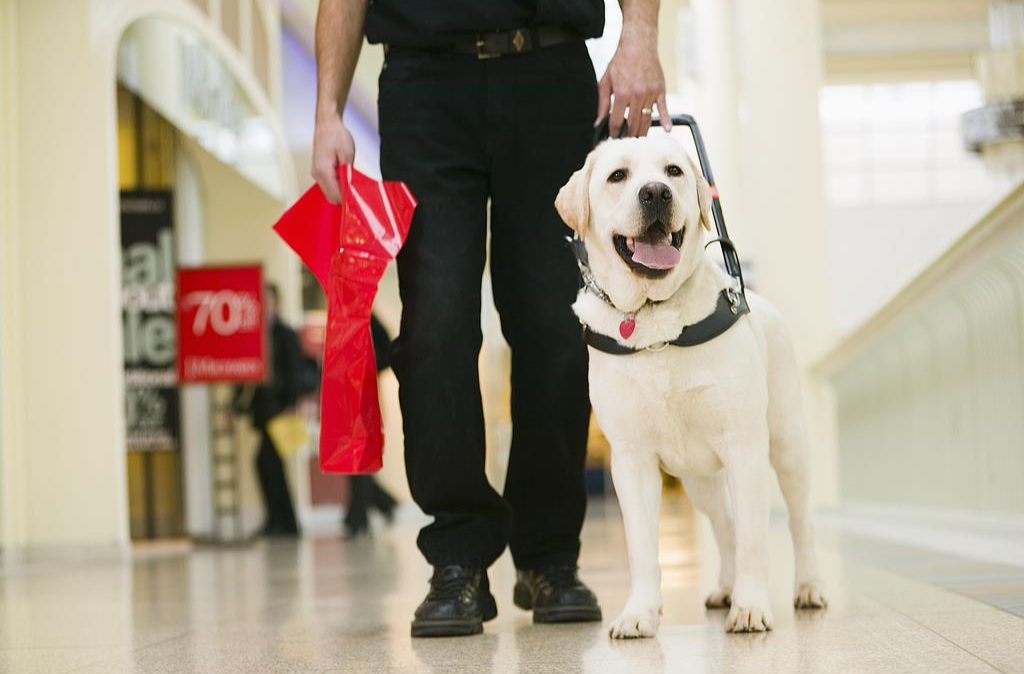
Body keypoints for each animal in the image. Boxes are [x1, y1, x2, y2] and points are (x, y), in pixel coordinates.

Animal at [557, 135, 827, 635]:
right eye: (618, 176)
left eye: (673, 171)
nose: (656, 193)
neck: (652, 317)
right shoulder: (632, 460)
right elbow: (643, 547)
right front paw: (640, 612)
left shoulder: (744, 446)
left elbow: (755, 539)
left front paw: (752, 606)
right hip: (699, 478)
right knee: (723, 524)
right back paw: (724, 587)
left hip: (786, 447)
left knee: (799, 522)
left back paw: (809, 586)